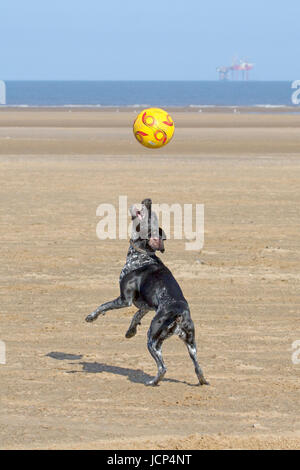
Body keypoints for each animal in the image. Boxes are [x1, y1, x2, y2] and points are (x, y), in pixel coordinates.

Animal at [86, 198, 209, 386]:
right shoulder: (146, 306)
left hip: (153, 340)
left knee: (163, 367)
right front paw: (130, 331)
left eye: (151, 216)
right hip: (191, 343)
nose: (148, 200)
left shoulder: (125, 299)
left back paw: (152, 382)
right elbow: (136, 316)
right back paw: (202, 381)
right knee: (198, 367)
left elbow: (103, 306)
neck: (143, 255)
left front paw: (91, 317)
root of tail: (179, 315)